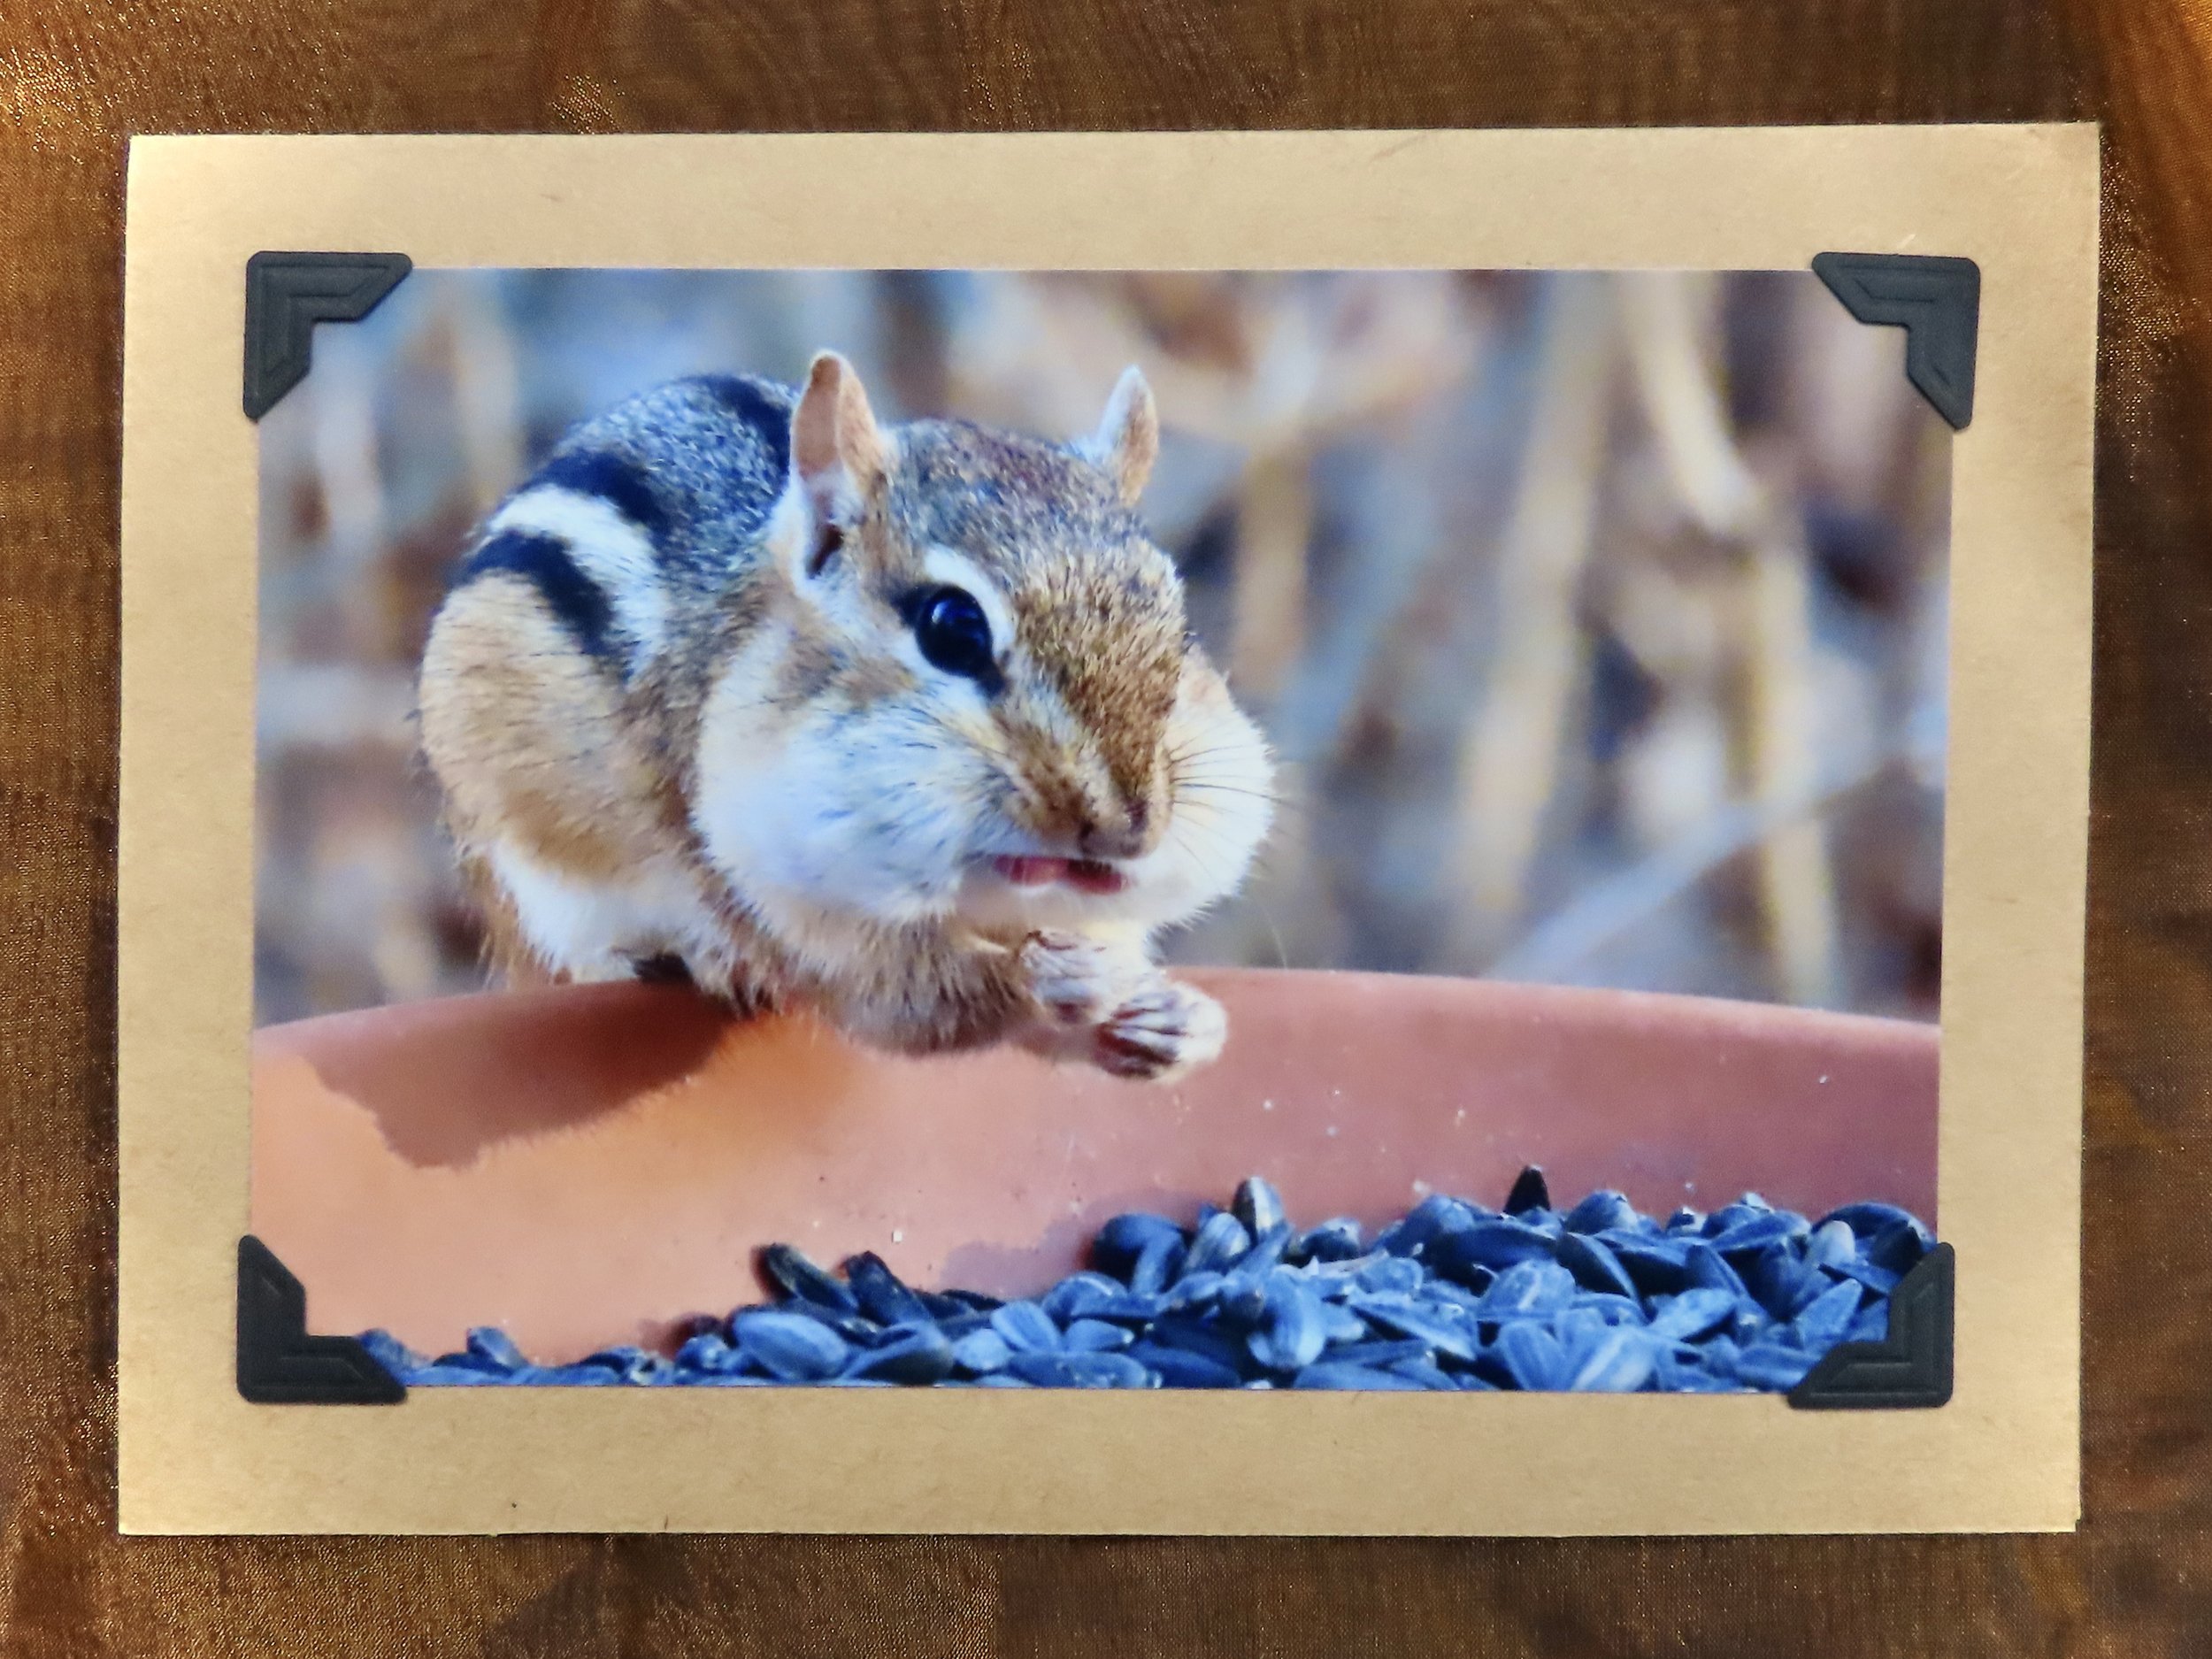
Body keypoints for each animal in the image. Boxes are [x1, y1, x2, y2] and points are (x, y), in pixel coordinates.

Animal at [416, 352, 1275, 1081]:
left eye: (1180, 630)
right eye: (952, 627)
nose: (1127, 830)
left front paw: (1173, 1018)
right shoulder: (785, 907)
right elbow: (929, 1005)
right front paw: (1061, 981)